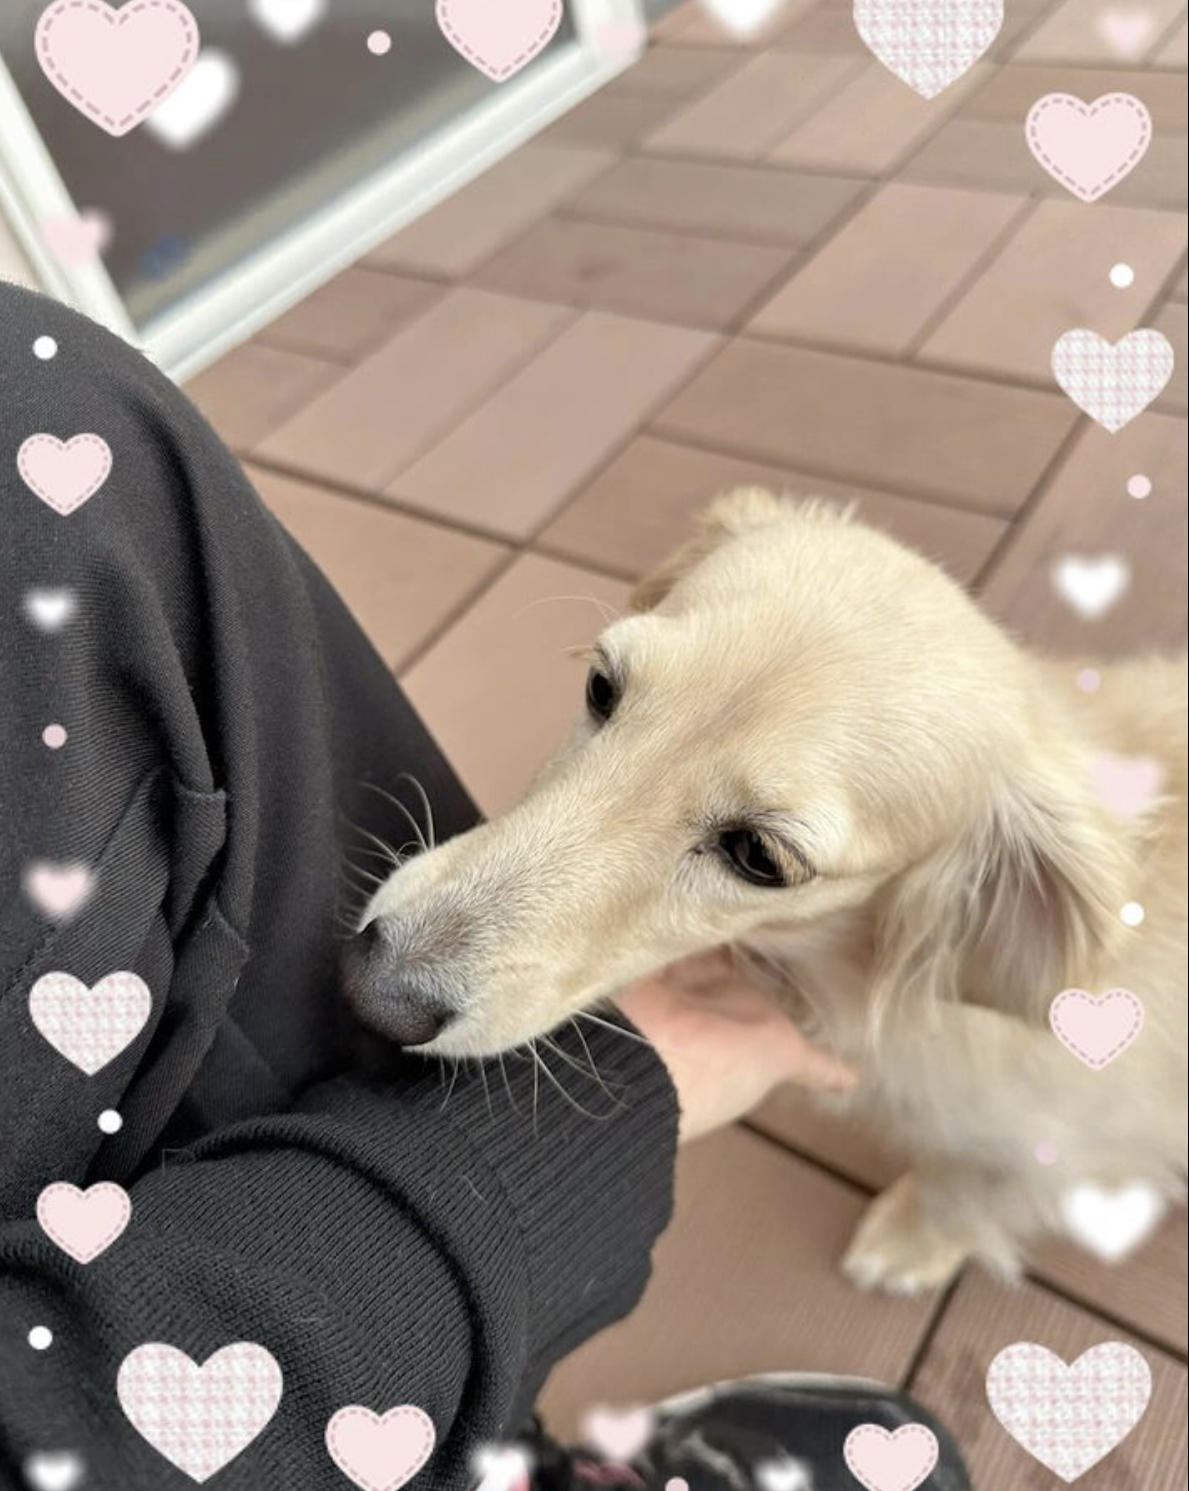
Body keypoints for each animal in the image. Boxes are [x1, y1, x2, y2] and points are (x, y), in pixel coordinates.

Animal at [347, 489, 1187, 1292]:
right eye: (600, 686)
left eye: (758, 855)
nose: (369, 991)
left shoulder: (1058, 1146)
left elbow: (966, 1188)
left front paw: (906, 1243)